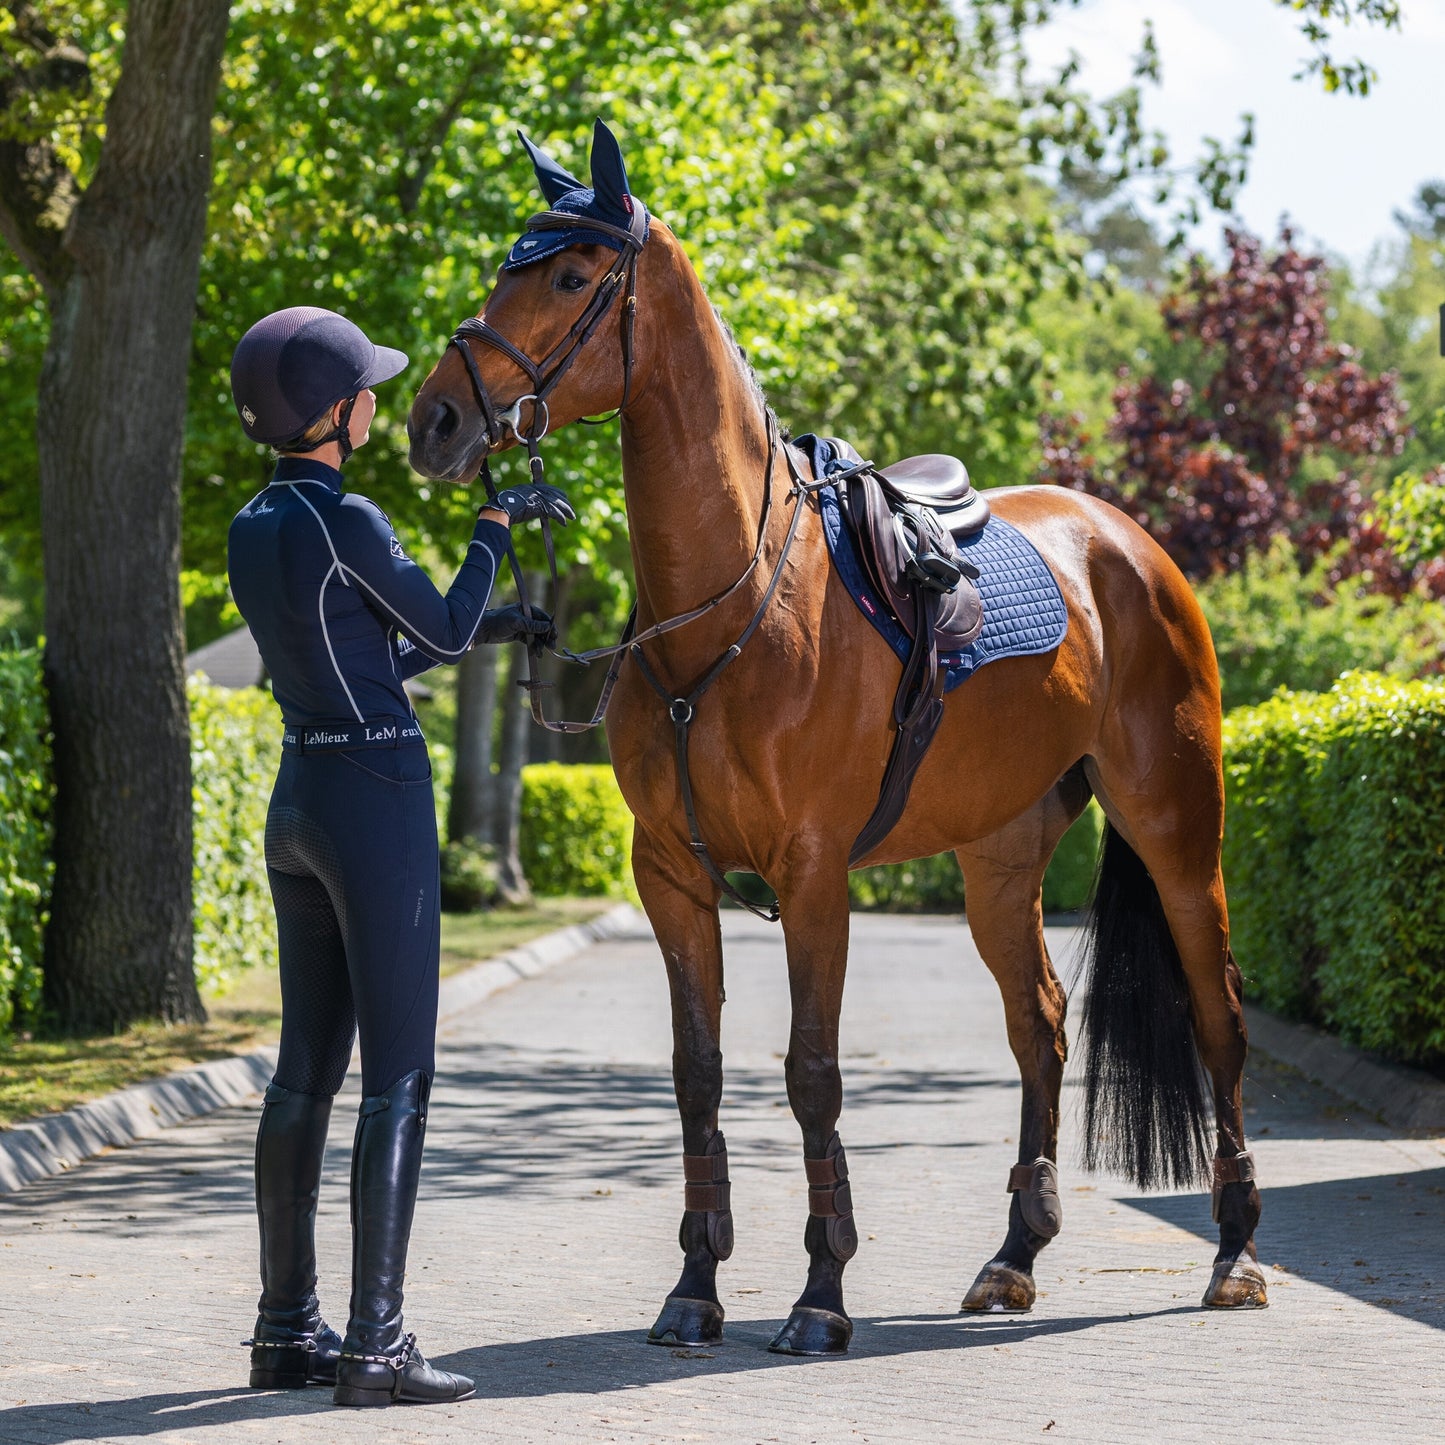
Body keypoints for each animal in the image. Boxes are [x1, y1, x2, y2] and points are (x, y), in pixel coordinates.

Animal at [407, 124, 1265, 1352]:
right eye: (501, 268)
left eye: (570, 276)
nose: (434, 420)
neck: (727, 606)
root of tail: (1128, 546)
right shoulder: (670, 875)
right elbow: (698, 1072)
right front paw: (695, 1285)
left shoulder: (812, 875)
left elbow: (811, 1072)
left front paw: (820, 1293)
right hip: (998, 858)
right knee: (1040, 1029)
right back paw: (1013, 1256)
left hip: (1176, 832)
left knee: (1217, 1015)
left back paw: (1233, 1253)